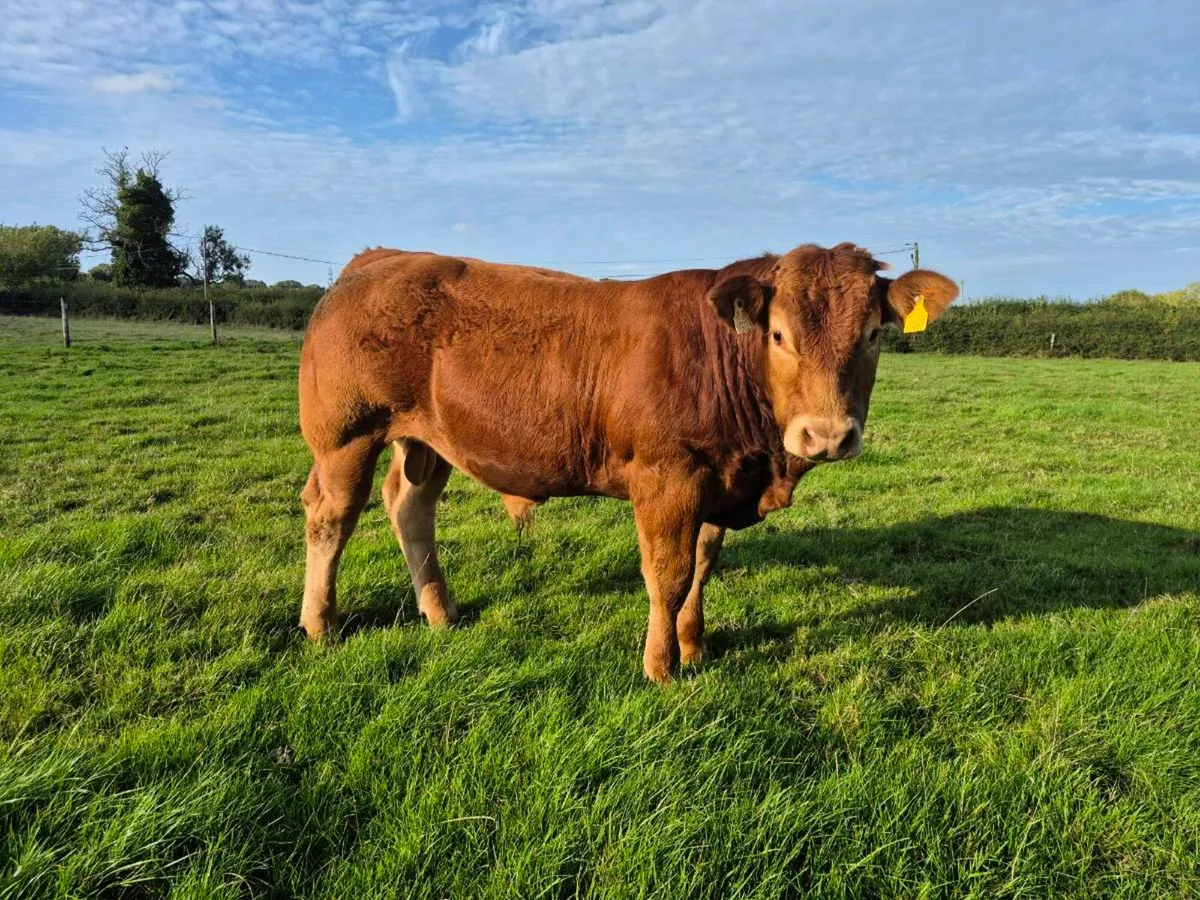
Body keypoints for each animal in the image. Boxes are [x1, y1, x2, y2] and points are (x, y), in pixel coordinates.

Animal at [297, 244, 958, 682]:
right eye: (777, 335)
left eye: (873, 334)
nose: (827, 435)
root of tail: (381, 258)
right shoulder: (668, 478)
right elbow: (668, 574)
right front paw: (661, 667)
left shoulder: (718, 480)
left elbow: (702, 567)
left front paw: (695, 647)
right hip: (345, 437)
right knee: (331, 519)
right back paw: (320, 625)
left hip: (427, 441)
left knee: (410, 509)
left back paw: (441, 613)